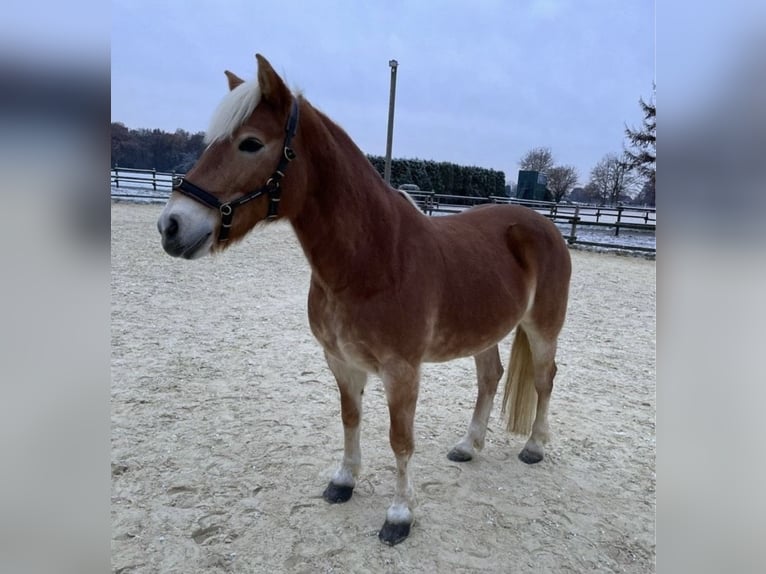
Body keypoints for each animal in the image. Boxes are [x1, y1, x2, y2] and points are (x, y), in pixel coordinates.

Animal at [159, 55, 572, 548]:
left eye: (251, 143)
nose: (171, 226)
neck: (373, 259)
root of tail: (543, 224)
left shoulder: (401, 371)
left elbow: (400, 439)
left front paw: (399, 515)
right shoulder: (340, 361)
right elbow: (350, 419)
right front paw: (344, 481)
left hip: (542, 328)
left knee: (545, 379)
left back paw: (534, 446)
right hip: (484, 330)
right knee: (490, 377)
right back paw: (468, 446)